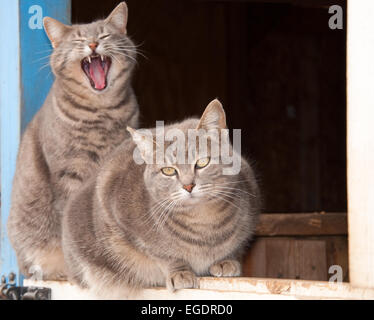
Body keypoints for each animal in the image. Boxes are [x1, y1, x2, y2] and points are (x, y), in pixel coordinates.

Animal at [62, 99, 260, 298]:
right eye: (169, 170)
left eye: (203, 162)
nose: (188, 185)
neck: (204, 221)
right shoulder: (125, 223)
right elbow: (164, 254)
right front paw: (180, 272)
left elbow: (235, 246)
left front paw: (226, 261)